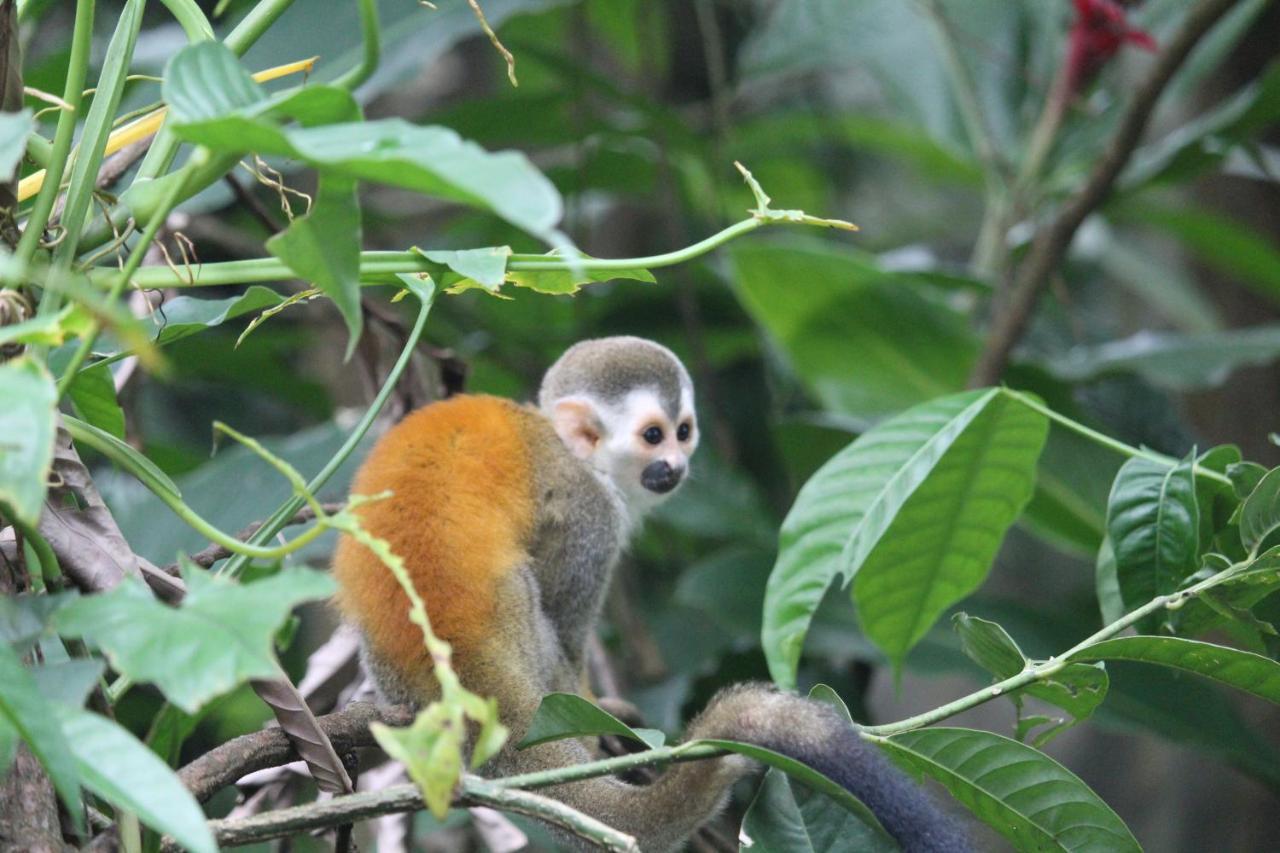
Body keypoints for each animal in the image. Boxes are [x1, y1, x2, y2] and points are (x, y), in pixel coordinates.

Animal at [335, 335, 962, 845]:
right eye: (653, 436)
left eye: (684, 432)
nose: (676, 464)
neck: (568, 445)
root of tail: (449, 641)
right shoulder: (592, 512)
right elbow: (569, 627)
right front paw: (594, 712)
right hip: (515, 623)